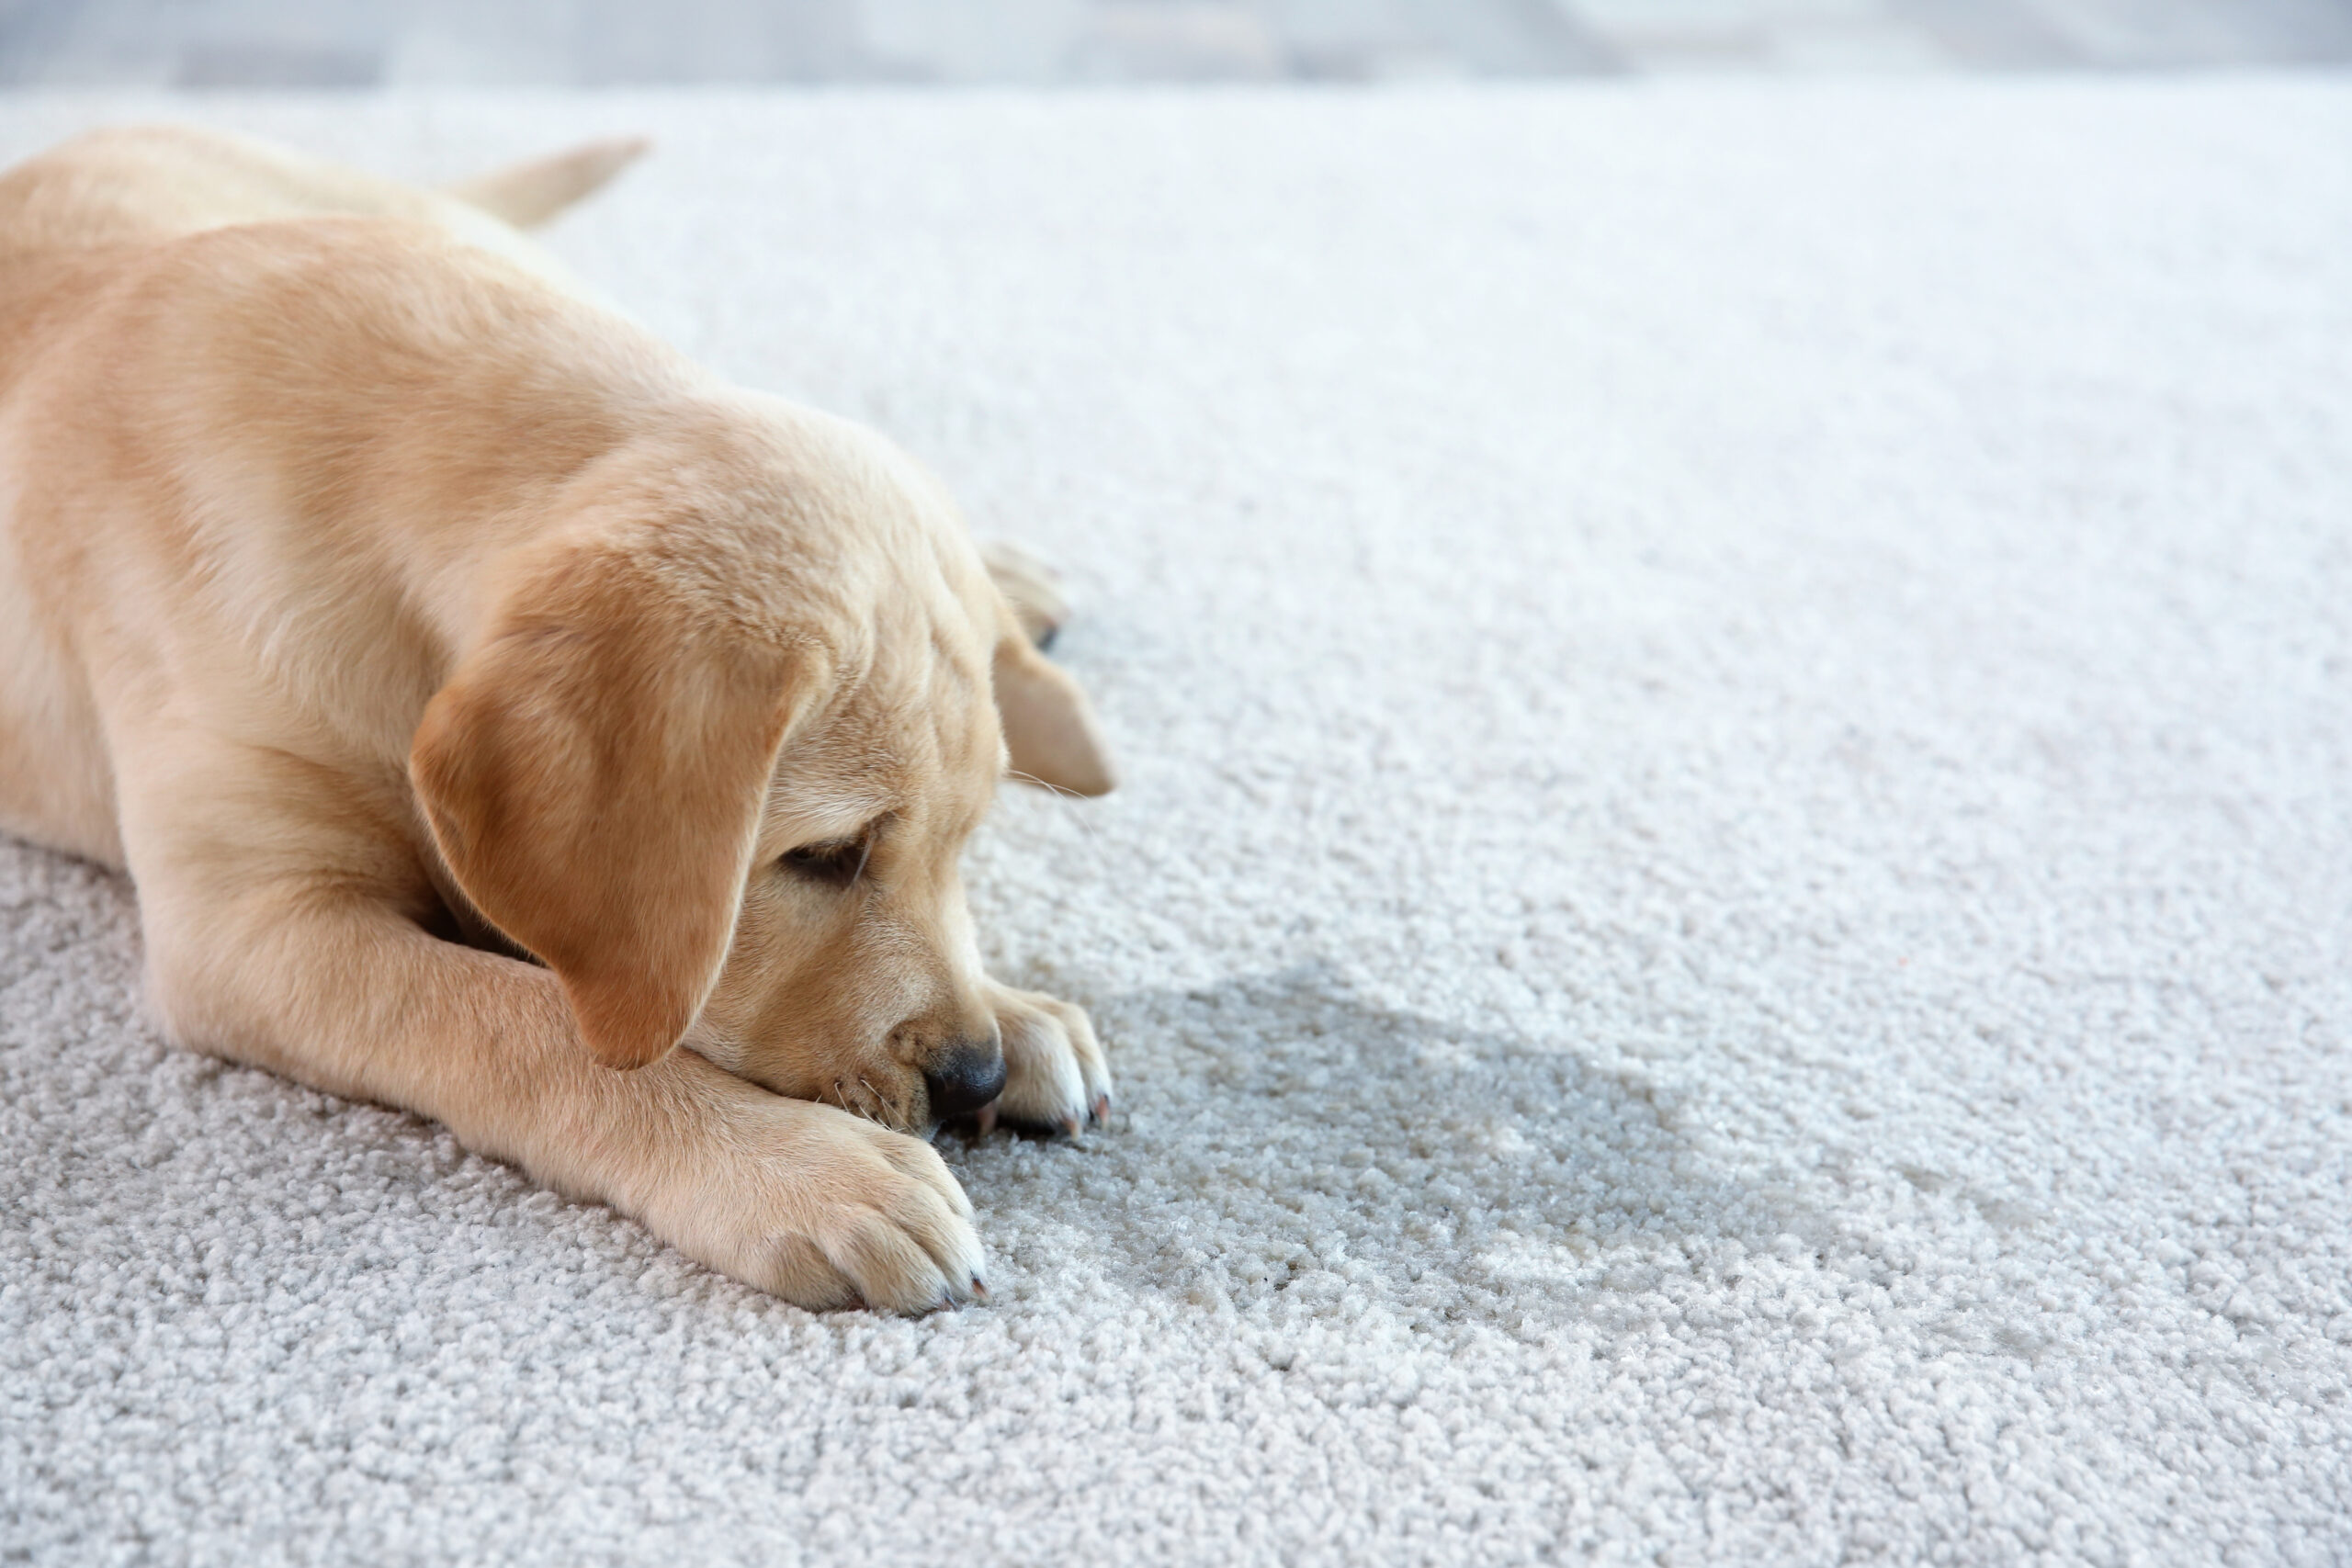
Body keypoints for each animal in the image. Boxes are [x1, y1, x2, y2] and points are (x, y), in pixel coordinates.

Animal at [0, 129, 1114, 1316]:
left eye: (963, 844)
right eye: (826, 856)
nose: (972, 1077)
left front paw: (1017, 1008)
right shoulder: (253, 926)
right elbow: (525, 1020)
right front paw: (799, 1168)